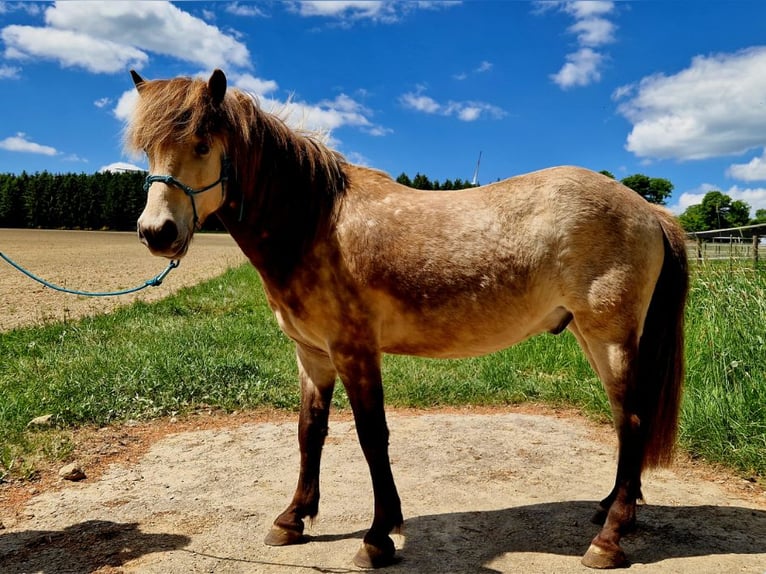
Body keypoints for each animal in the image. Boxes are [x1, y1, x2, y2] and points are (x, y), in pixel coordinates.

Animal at [127, 69, 688, 569]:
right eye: (147, 149)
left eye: (202, 143)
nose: (157, 233)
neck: (315, 223)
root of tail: (648, 210)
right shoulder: (312, 355)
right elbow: (310, 432)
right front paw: (293, 519)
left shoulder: (355, 351)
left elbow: (372, 436)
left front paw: (377, 538)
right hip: (592, 338)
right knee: (623, 420)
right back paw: (609, 510)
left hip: (610, 337)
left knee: (633, 421)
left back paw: (609, 540)